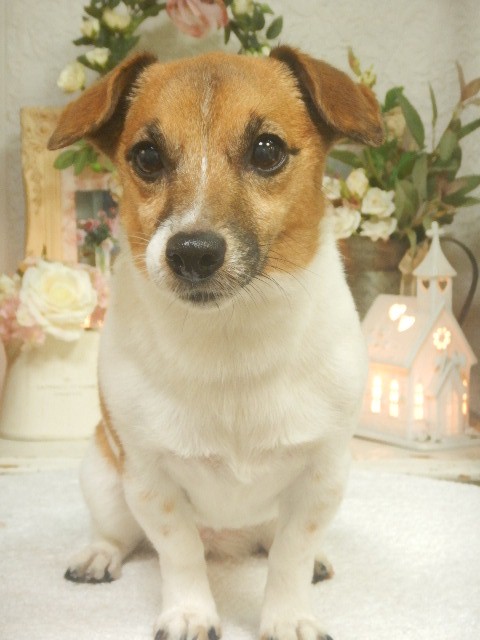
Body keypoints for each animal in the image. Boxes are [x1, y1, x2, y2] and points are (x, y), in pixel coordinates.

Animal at [49, 46, 383, 640]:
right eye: (147, 157)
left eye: (267, 150)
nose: (193, 251)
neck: (230, 337)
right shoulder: (150, 481)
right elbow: (178, 553)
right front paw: (190, 613)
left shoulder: (321, 477)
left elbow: (291, 555)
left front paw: (288, 616)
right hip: (103, 477)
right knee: (120, 533)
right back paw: (98, 554)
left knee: (273, 544)